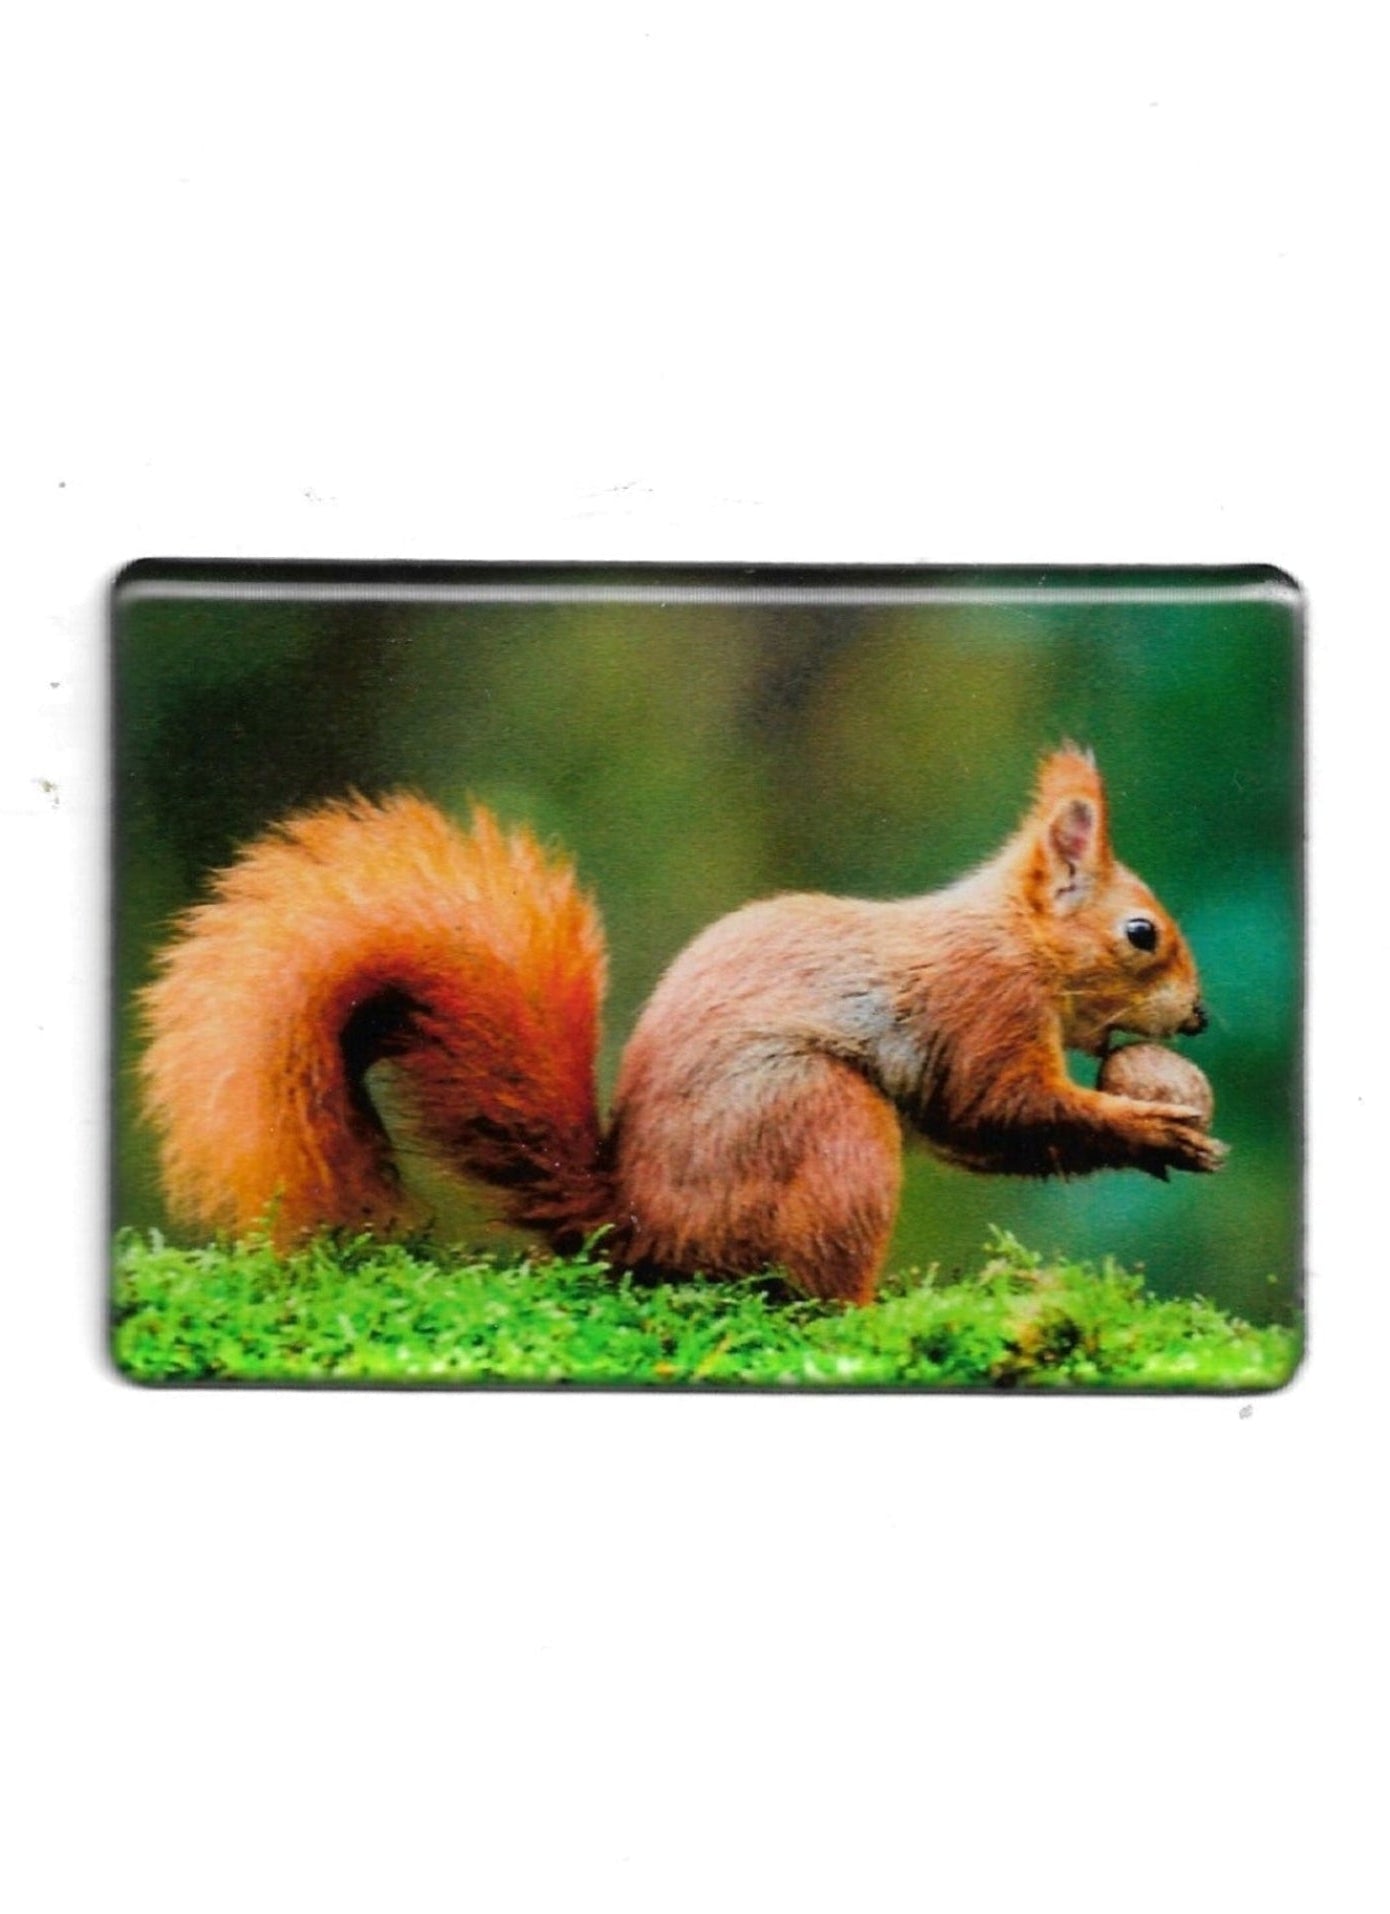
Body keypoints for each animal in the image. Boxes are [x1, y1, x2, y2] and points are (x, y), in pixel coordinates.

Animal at [138, 747, 1225, 1304]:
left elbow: (978, 1133)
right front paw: (1149, 1130)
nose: (1202, 1017)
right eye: (1140, 934)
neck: (1014, 939)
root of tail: (635, 1224)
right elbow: (998, 1109)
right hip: (821, 1121)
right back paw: (866, 1311)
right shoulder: (980, 1006)